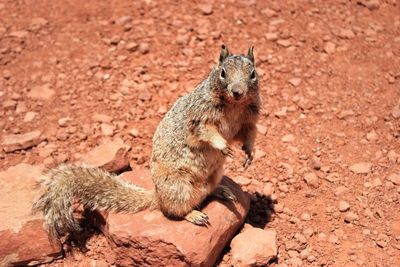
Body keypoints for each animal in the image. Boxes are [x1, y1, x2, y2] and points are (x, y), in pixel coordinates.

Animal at [32, 44, 260, 241]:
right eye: (222, 72)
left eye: (253, 74)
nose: (237, 92)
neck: (234, 106)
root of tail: (157, 196)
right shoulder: (198, 119)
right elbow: (207, 132)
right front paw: (223, 146)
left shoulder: (247, 121)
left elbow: (248, 135)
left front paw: (249, 153)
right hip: (179, 187)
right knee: (175, 210)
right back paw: (195, 215)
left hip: (214, 175)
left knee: (207, 192)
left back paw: (222, 191)